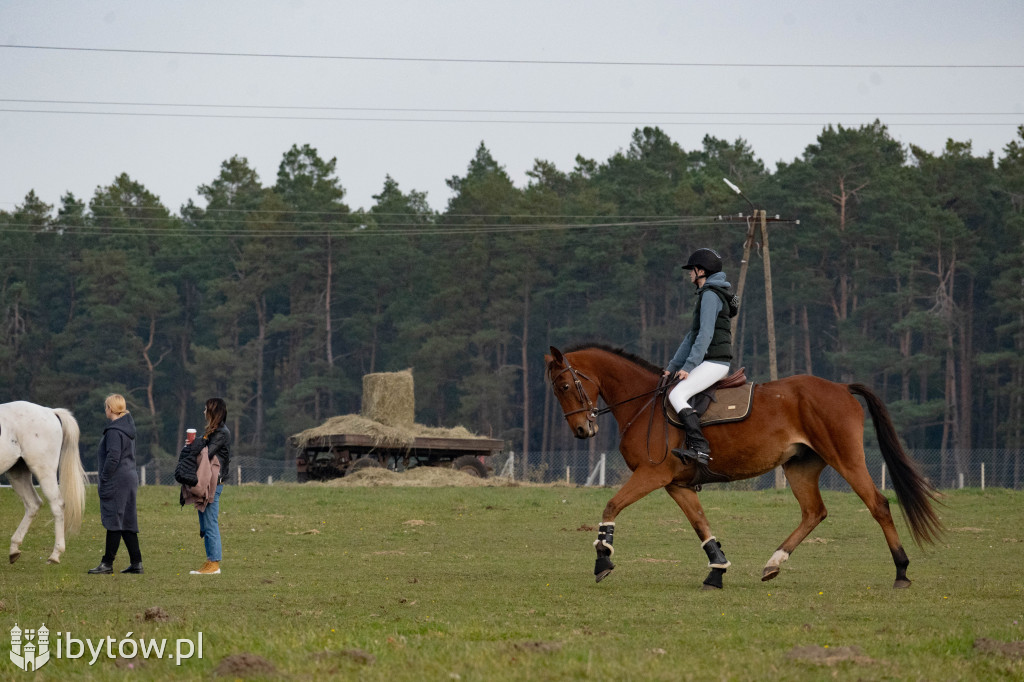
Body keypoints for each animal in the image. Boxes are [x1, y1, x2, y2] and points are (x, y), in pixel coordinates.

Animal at [0, 399, 87, 561]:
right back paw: (14, 548)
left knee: (57, 505)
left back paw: (55, 554)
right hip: (17, 473)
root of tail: (50, 411)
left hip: (43, 470)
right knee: (33, 504)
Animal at [544, 342, 942, 585]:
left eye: (563, 386)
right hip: (799, 466)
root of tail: (842, 388)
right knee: (814, 512)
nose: (582, 430)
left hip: (845, 457)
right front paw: (716, 571)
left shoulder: (652, 474)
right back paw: (773, 563)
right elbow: (701, 525)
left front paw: (602, 559)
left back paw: (901, 571)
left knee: (878, 504)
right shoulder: (677, 484)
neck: (645, 404)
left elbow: (611, 505)